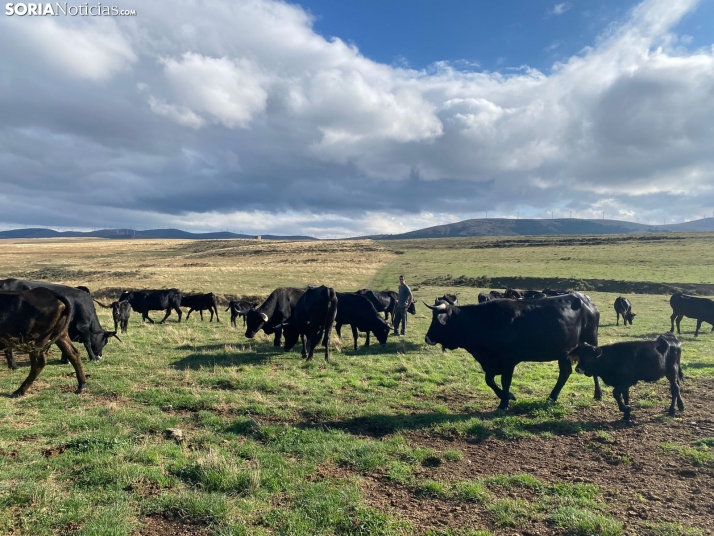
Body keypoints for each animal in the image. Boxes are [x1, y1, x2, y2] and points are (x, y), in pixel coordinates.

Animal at [424, 293, 601, 410]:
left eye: (437, 321)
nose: (427, 338)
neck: (484, 321)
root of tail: (585, 299)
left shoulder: (508, 361)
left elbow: (505, 381)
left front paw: (504, 403)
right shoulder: (492, 362)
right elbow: (489, 380)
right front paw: (508, 396)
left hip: (591, 342)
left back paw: (598, 394)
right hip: (563, 352)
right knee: (565, 372)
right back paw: (552, 397)